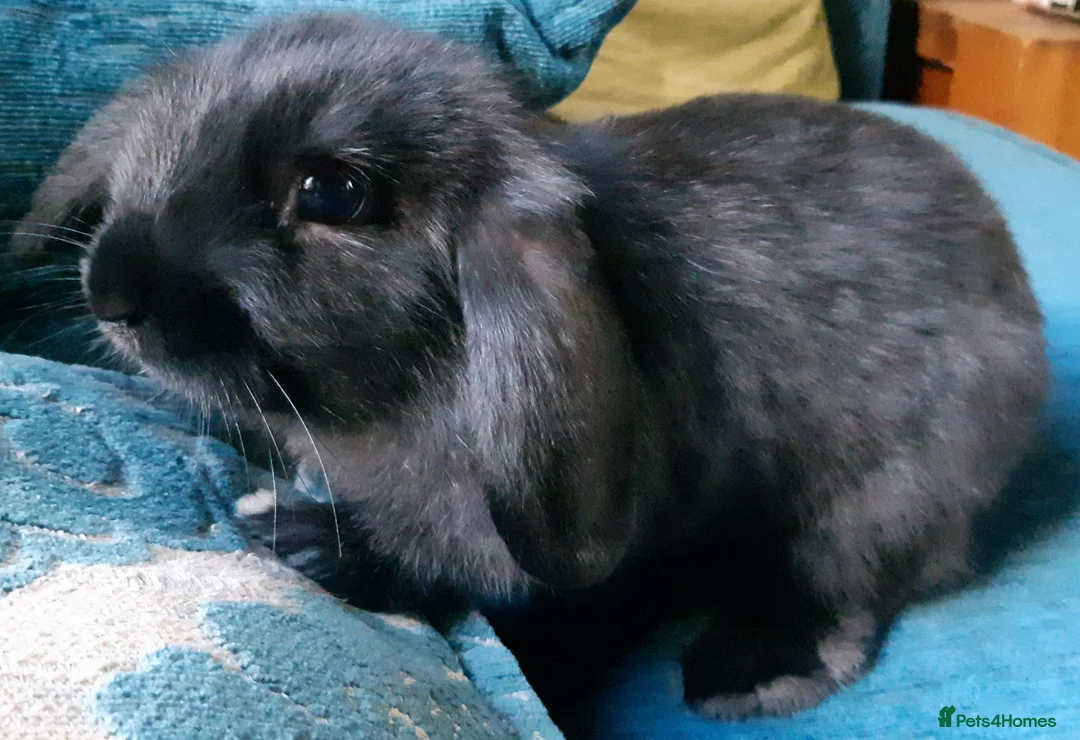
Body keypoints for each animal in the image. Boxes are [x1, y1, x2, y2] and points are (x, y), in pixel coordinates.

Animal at [8, 13, 1049, 722]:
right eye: (159, 141)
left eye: (333, 192)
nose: (114, 292)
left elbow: (444, 562)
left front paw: (299, 538)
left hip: (881, 489)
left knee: (844, 582)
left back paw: (747, 674)